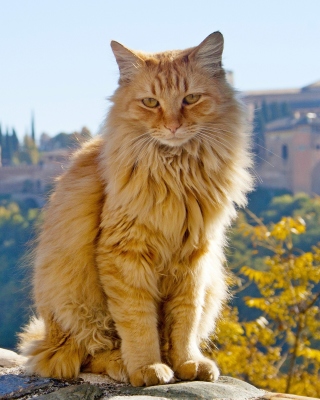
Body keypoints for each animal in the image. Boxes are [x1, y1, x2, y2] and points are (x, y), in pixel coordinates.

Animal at [18, 32, 254, 388]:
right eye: (151, 103)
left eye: (190, 99)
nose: (172, 127)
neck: (176, 171)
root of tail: (45, 335)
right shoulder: (125, 253)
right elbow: (138, 322)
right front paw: (147, 368)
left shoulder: (194, 258)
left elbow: (184, 322)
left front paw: (187, 363)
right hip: (75, 306)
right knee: (78, 355)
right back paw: (120, 363)